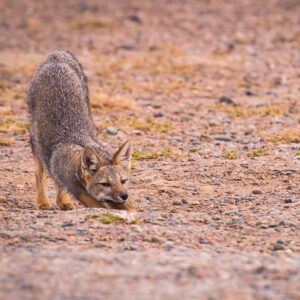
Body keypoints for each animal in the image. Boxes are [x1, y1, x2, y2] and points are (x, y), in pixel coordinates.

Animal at [27, 49, 132, 211]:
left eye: (123, 181)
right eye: (105, 184)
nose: (124, 195)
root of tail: (56, 55)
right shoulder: (77, 190)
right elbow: (96, 203)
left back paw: (63, 202)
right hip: (36, 143)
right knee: (39, 173)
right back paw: (43, 201)